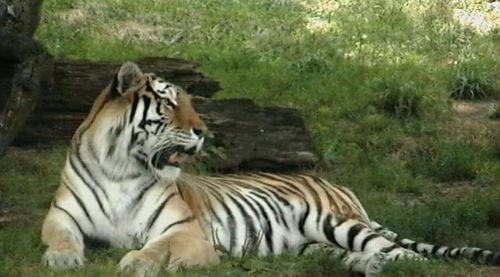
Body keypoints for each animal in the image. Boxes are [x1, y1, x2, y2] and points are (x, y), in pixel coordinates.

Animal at [41, 62, 500, 276]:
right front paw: (63, 258)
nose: (203, 130)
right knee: (351, 255)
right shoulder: (61, 216)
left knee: (408, 255)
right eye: (170, 103)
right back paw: (365, 267)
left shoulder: (185, 230)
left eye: (191, 102)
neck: (120, 168)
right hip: (311, 243)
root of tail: (337, 185)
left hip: (335, 222)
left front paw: (137, 261)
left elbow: (159, 247)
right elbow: (62, 237)